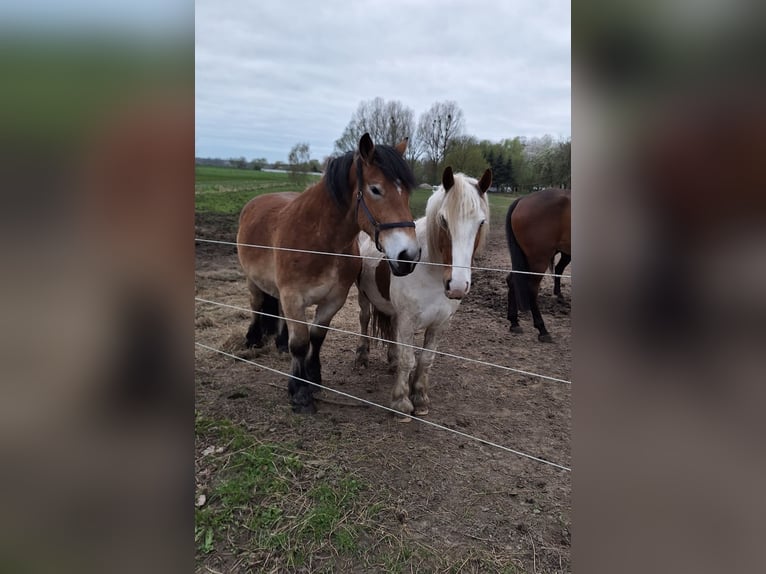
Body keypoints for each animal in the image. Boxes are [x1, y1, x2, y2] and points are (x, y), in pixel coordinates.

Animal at [238, 134, 420, 414]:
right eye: (375, 189)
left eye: (407, 192)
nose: (407, 255)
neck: (319, 239)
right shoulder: (294, 297)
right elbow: (300, 343)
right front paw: (299, 392)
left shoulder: (334, 299)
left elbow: (316, 337)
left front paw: (313, 378)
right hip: (252, 280)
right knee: (257, 306)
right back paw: (253, 339)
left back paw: (280, 343)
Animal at [356, 166, 492, 424]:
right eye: (443, 220)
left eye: (481, 223)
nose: (457, 286)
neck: (430, 270)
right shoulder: (408, 320)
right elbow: (409, 359)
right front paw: (401, 403)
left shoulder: (440, 323)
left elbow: (425, 359)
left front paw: (419, 398)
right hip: (363, 296)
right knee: (364, 320)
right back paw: (361, 358)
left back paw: (392, 361)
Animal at [508, 188, 572, 342]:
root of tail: (523, 199)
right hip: (538, 259)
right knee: (531, 288)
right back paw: (542, 329)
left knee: (513, 280)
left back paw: (514, 322)